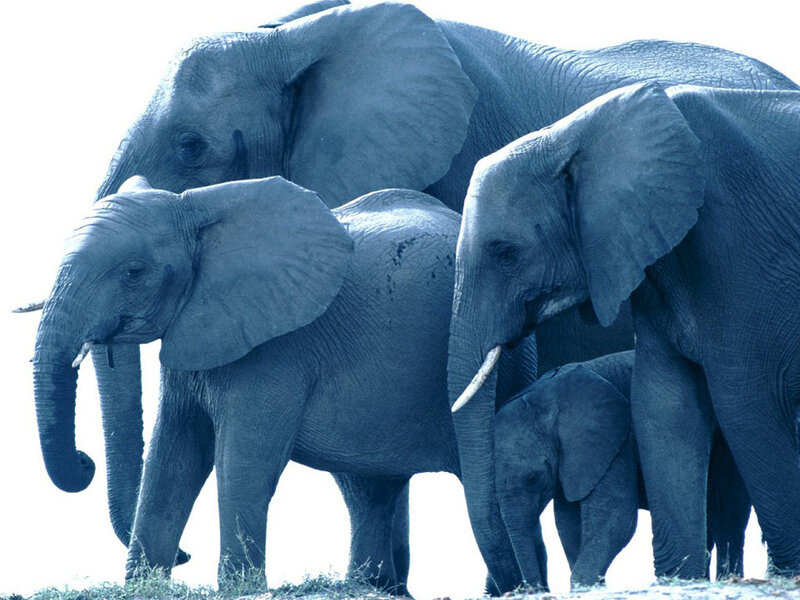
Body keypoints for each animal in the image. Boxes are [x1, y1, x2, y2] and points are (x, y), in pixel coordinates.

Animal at [32, 175, 539, 590]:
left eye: (134, 272)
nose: (84, 461)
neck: (196, 207)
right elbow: (174, 455)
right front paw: (145, 587)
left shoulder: (275, 349)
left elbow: (243, 461)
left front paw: (239, 589)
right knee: (369, 490)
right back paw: (371, 587)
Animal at [494, 351, 751, 588]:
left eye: (533, 478)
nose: (537, 588)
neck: (545, 399)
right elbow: (568, 523)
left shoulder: (615, 438)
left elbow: (616, 515)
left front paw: (587, 584)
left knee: (728, 513)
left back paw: (728, 579)